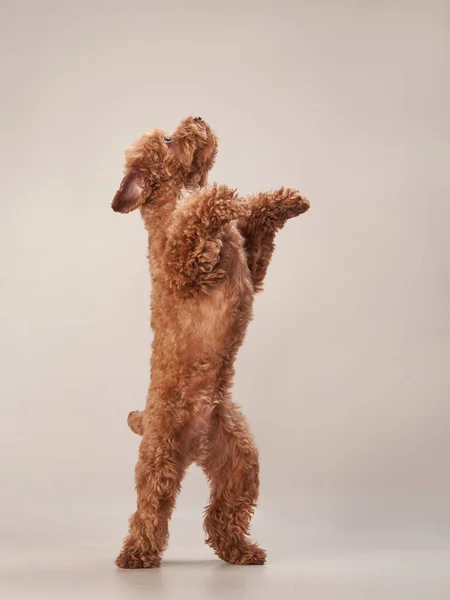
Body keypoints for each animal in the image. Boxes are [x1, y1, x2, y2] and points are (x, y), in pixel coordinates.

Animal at [111, 116, 312, 568]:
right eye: (168, 139)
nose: (198, 118)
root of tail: (196, 444)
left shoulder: (252, 267)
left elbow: (258, 235)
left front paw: (285, 201)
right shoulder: (183, 265)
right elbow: (197, 218)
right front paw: (222, 197)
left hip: (239, 461)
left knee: (225, 513)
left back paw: (240, 550)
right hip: (160, 456)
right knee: (150, 509)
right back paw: (136, 555)